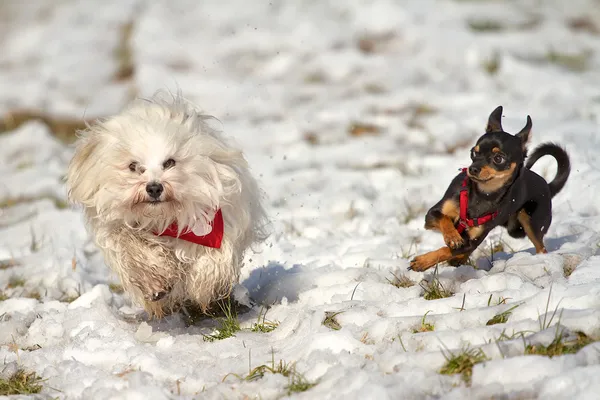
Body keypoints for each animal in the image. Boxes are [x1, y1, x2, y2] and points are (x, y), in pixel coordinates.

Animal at [65, 92, 268, 318]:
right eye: (133, 166)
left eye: (169, 162)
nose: (154, 188)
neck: (164, 218)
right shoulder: (118, 231)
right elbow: (134, 248)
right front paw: (154, 283)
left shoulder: (217, 222)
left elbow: (211, 258)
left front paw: (204, 282)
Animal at [408, 105, 572, 272]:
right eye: (474, 152)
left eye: (498, 158)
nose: (473, 169)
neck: (483, 195)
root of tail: (548, 186)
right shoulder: (432, 215)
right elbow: (444, 219)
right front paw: (452, 237)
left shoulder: (472, 239)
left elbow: (447, 250)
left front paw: (422, 261)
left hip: (528, 224)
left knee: (540, 246)